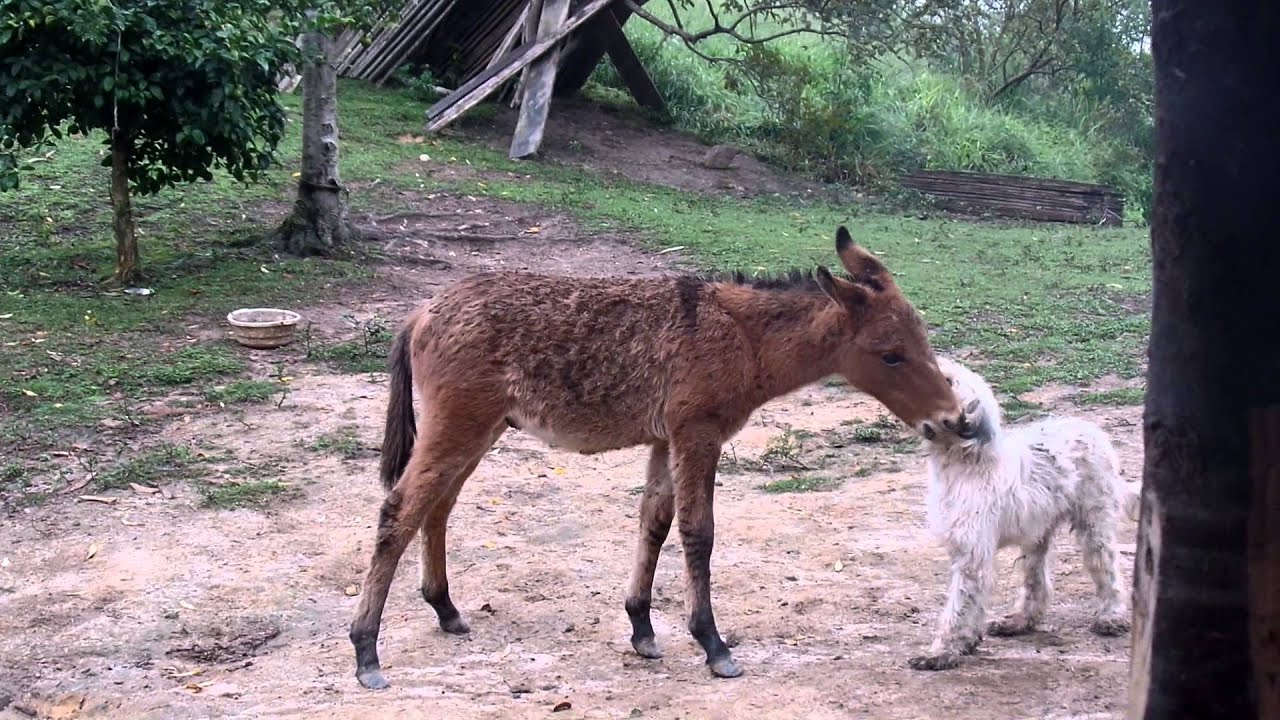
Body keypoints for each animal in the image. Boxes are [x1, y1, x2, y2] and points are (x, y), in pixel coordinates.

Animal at [911, 353, 1141, 666]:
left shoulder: (972, 555)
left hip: (1094, 523)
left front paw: (941, 652)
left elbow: (958, 607)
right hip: (1037, 533)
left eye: (947, 380)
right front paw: (966, 643)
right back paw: (1019, 621)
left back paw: (1110, 617)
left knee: (1106, 570)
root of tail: (1092, 430)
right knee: (1037, 582)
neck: (966, 460)